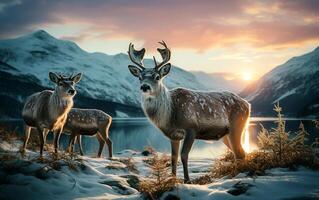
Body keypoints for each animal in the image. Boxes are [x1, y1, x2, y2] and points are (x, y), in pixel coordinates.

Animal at [127, 41, 250, 183]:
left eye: (157, 77)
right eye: (140, 77)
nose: (145, 86)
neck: (171, 115)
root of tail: (247, 104)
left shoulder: (191, 127)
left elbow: (184, 155)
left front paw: (187, 180)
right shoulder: (173, 135)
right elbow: (173, 157)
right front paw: (172, 178)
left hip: (237, 126)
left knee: (240, 152)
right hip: (226, 134)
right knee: (239, 152)